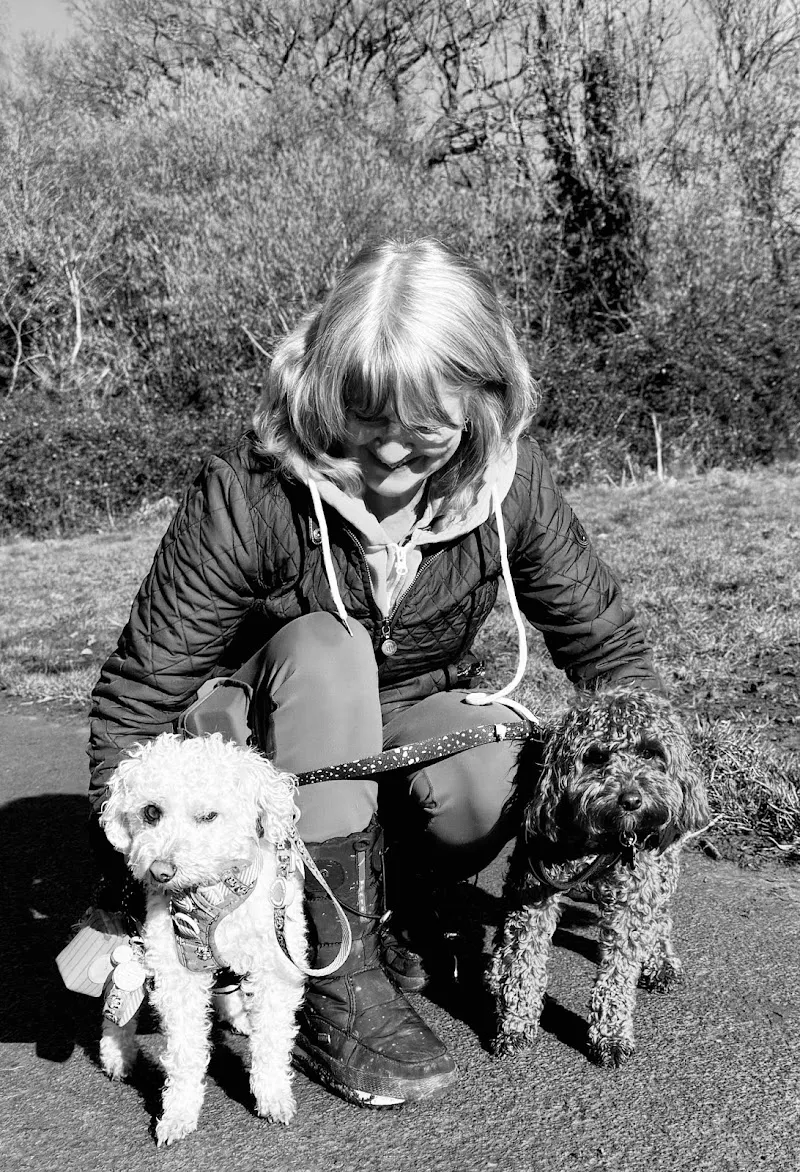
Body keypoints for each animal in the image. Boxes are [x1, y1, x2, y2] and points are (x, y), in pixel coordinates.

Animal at [98, 732, 308, 1145]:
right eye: (151, 812)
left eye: (209, 816)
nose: (160, 871)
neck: (212, 893)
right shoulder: (176, 973)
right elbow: (184, 1051)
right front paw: (178, 1113)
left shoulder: (276, 965)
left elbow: (272, 1038)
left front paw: (273, 1095)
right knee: (118, 995)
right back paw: (117, 1052)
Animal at [489, 688, 709, 1068]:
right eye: (596, 756)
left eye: (650, 753)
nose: (631, 799)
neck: (595, 840)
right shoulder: (532, 893)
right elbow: (523, 962)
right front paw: (515, 1025)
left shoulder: (630, 900)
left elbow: (617, 975)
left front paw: (612, 1035)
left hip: (663, 865)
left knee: (661, 915)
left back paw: (662, 962)